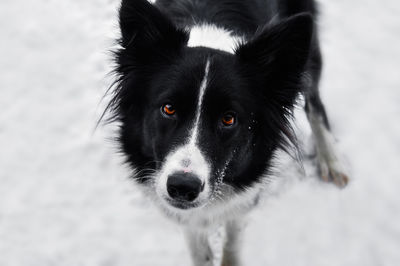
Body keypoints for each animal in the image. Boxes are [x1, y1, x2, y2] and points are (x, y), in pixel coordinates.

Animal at [104, 0, 348, 264]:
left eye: (228, 119)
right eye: (168, 108)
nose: (183, 187)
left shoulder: (246, 193)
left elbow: (233, 240)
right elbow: (196, 243)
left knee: (314, 101)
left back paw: (330, 159)